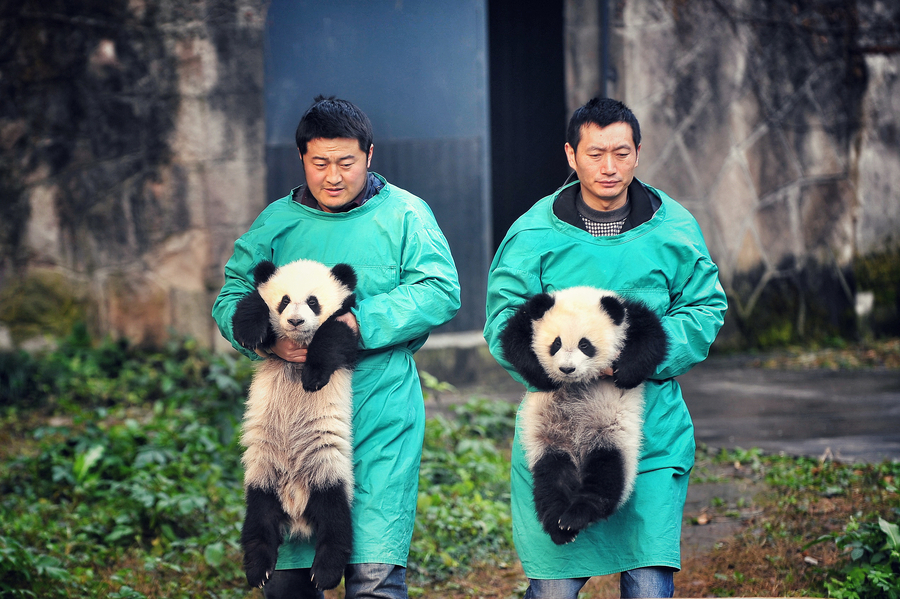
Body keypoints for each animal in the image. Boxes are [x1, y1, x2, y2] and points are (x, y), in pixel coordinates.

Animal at [232, 262, 358, 592]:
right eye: (284, 301)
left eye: (313, 301)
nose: (295, 321)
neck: (300, 342)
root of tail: (295, 503)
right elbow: (251, 304)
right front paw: (249, 333)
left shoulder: (348, 322)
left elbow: (335, 336)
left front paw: (313, 377)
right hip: (261, 477)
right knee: (258, 522)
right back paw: (258, 570)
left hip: (327, 468)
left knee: (336, 520)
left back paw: (325, 572)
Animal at [500, 288, 668, 548]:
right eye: (556, 343)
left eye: (585, 345)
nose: (567, 369)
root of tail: (577, 450)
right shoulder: (527, 319)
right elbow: (513, 339)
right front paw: (543, 377)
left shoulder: (628, 317)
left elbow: (651, 339)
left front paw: (624, 373)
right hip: (548, 441)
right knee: (551, 478)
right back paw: (559, 526)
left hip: (610, 434)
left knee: (607, 474)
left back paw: (578, 514)